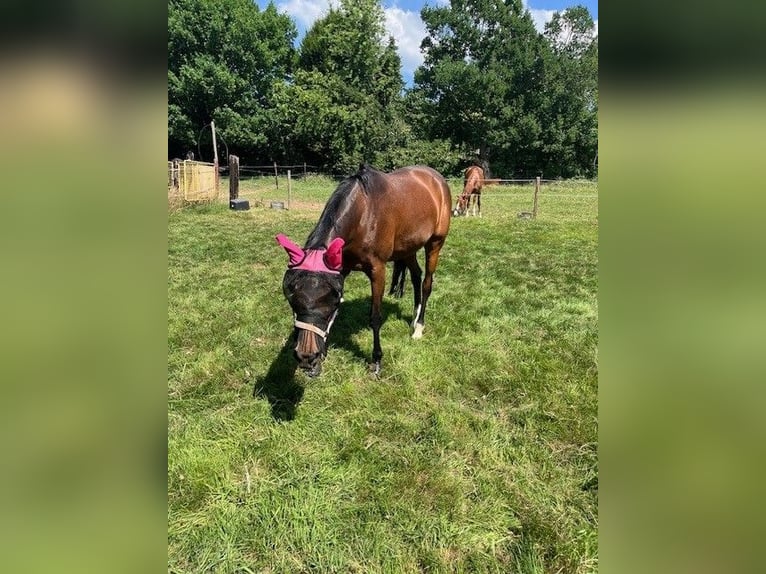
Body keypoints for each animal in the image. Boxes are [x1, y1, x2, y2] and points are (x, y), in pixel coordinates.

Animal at [276, 164, 452, 377]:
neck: (363, 215)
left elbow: (375, 317)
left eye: (331, 304)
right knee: (416, 276)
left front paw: (376, 361)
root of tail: (436, 178)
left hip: (435, 243)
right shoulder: (341, 269)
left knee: (426, 283)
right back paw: (414, 317)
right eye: (293, 302)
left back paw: (418, 326)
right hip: (408, 247)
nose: (306, 357)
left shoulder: (378, 270)